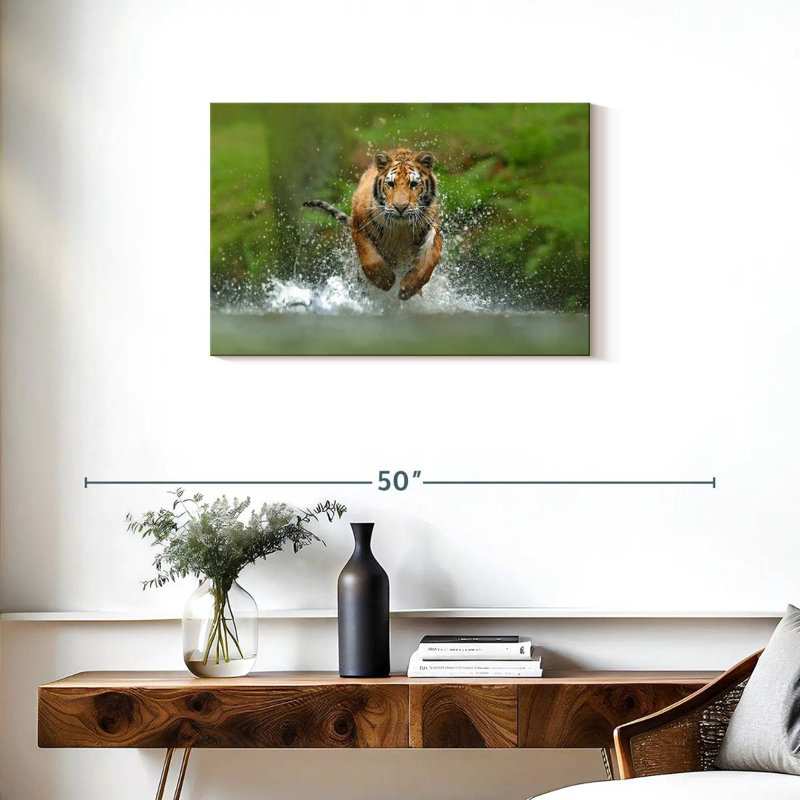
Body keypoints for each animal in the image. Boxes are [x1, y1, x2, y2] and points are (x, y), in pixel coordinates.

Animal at [303, 148, 442, 300]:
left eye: (413, 184)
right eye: (391, 184)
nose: (400, 207)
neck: (400, 227)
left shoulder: (432, 227)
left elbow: (430, 259)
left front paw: (408, 288)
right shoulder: (358, 226)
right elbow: (371, 259)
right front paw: (386, 281)